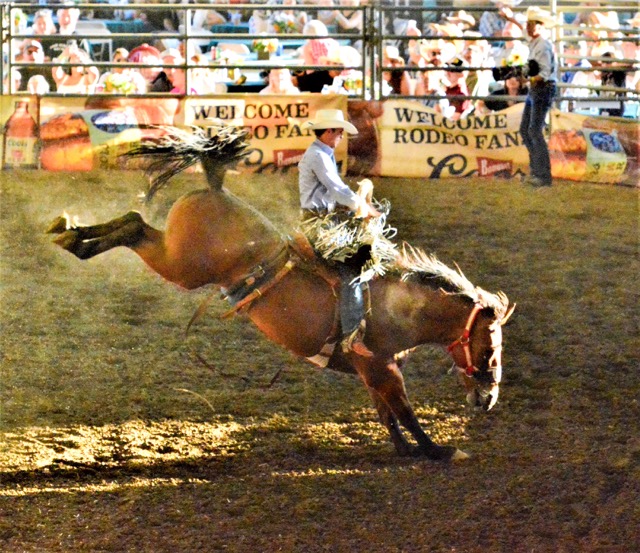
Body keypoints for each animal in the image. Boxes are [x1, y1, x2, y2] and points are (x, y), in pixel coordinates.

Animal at [46, 125, 516, 462]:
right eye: (491, 348)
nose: (489, 399)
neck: (399, 306)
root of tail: (216, 189)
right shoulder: (381, 366)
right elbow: (403, 409)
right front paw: (439, 450)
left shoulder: (371, 370)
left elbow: (387, 413)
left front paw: (404, 449)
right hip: (182, 267)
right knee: (132, 226)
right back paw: (70, 237)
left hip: (172, 254)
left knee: (134, 222)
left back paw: (67, 231)